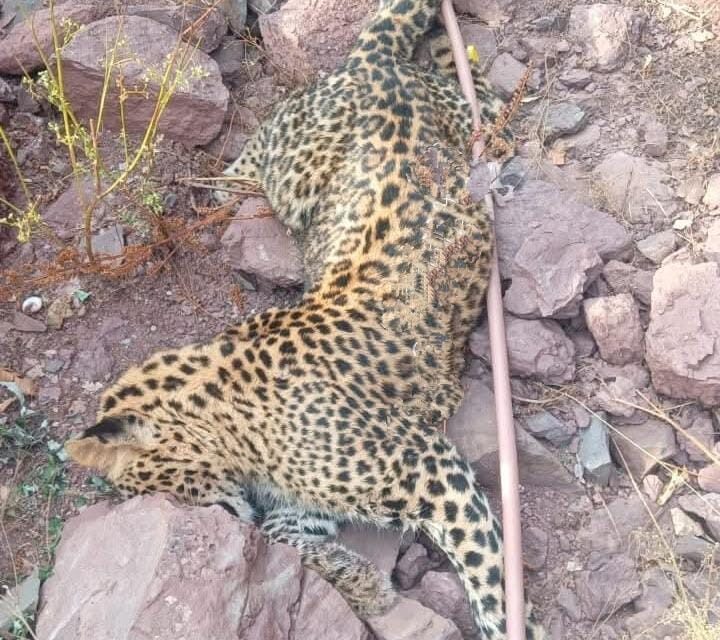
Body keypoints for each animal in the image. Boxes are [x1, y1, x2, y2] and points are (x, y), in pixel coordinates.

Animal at [65, 1, 545, 638]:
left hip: (288, 171)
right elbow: (282, 534)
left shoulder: (428, 466)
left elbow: (488, 570)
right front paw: (362, 583)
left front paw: (512, 622)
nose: (210, 520)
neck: (226, 414)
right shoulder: (304, 503)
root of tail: (369, 65)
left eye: (157, 490)